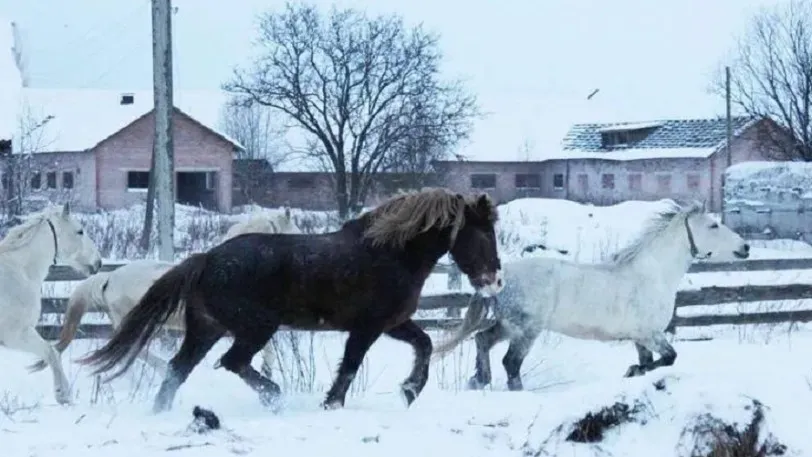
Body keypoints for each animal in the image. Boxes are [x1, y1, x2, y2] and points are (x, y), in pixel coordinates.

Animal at [0, 203, 102, 402]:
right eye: (80, 231)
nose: (98, 262)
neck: (19, 272)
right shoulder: (16, 335)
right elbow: (51, 352)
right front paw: (63, 394)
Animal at [79, 187, 504, 412]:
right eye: (483, 235)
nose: (495, 281)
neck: (391, 254)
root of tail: (206, 260)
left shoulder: (394, 323)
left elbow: (426, 343)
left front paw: (410, 390)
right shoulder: (366, 327)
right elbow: (350, 367)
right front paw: (332, 404)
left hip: (206, 329)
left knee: (176, 370)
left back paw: (161, 412)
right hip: (255, 328)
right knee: (233, 362)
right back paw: (274, 397)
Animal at [434, 200, 752, 388]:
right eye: (713, 225)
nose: (745, 247)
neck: (654, 275)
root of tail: (501, 278)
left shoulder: (640, 338)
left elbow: (650, 364)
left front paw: (634, 372)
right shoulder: (649, 334)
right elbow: (670, 357)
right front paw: (630, 370)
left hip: (508, 325)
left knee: (482, 340)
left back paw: (479, 380)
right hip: (526, 330)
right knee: (510, 363)